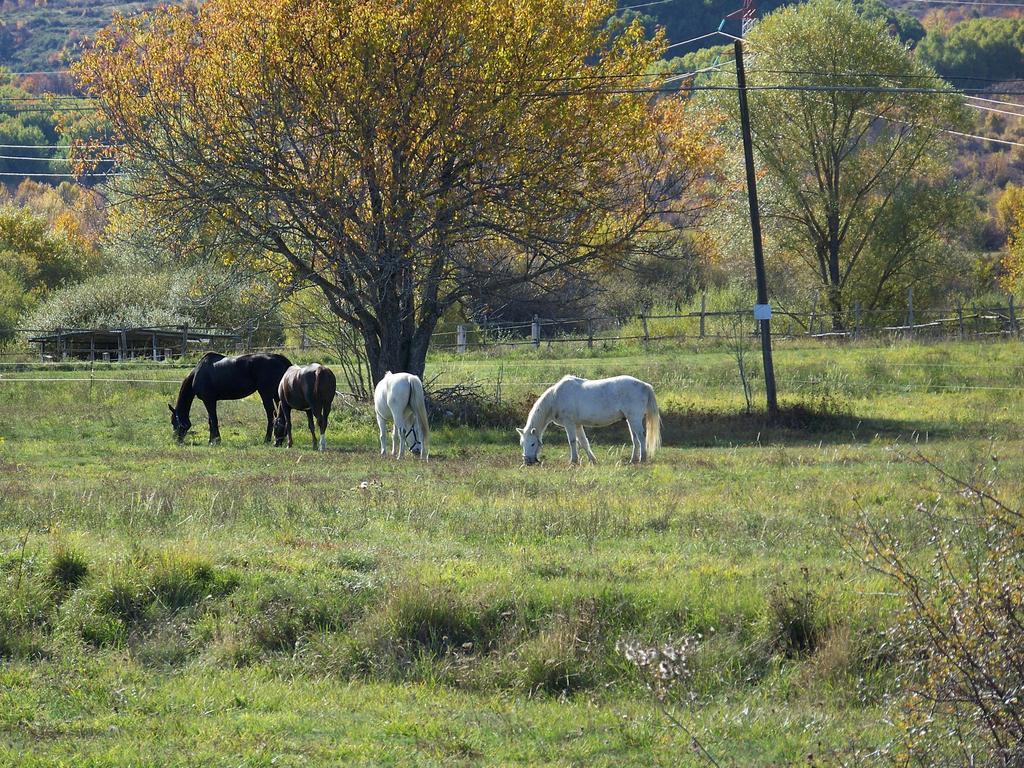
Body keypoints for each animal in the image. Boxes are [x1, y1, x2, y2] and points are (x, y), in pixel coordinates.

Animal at [520, 376, 663, 466]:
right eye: (522, 444)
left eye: (532, 444)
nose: (527, 462)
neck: (556, 397)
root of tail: (645, 385)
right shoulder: (577, 425)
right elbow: (584, 442)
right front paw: (593, 460)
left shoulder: (569, 424)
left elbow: (572, 442)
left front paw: (573, 461)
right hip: (630, 420)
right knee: (635, 439)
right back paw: (632, 460)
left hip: (635, 419)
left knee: (641, 437)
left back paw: (642, 459)